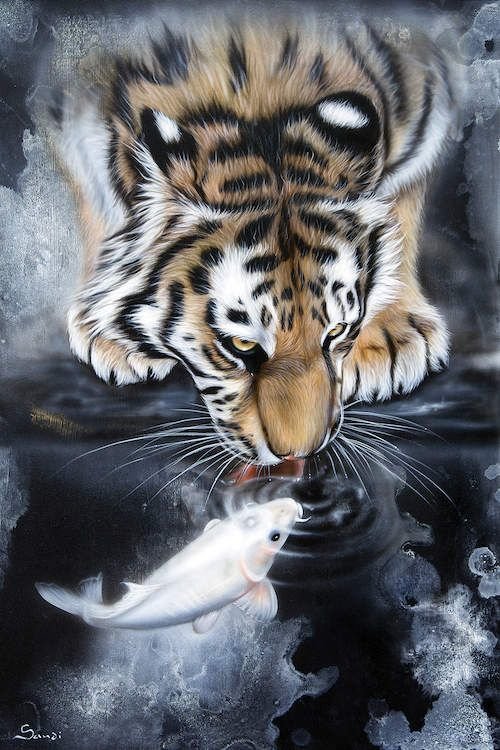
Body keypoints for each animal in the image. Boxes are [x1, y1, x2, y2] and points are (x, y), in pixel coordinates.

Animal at [52, 19, 454, 468]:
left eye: (336, 332)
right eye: (241, 345)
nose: (301, 453)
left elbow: (400, 199)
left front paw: (389, 336)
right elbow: (95, 194)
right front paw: (108, 333)